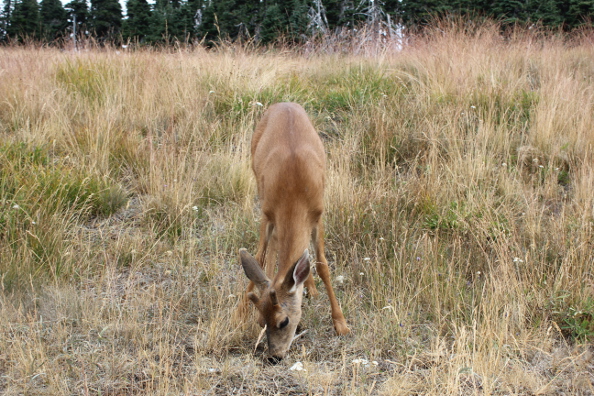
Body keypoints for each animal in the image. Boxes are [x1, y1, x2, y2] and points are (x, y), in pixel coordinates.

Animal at [238, 101, 350, 362]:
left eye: (283, 321)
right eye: (262, 322)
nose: (274, 356)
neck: (294, 192)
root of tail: (285, 103)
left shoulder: (317, 215)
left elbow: (322, 264)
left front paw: (341, 323)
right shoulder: (268, 212)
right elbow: (260, 257)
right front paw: (240, 311)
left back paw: (311, 288)